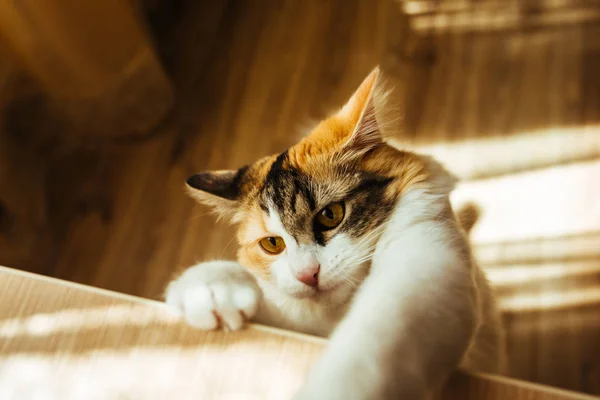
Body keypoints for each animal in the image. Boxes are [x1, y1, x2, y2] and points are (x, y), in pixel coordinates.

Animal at [163, 68, 502, 400]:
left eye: (330, 215)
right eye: (272, 243)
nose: (308, 275)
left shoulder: (428, 269)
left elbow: (368, 349)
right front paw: (210, 290)